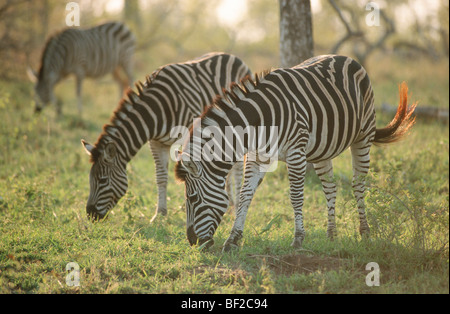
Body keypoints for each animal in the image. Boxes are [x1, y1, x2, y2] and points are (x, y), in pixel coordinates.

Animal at [80, 52, 250, 221]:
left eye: (102, 180)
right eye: (90, 179)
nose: (90, 215)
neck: (157, 110)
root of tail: (232, 56)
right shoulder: (156, 142)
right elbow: (161, 177)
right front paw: (160, 214)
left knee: (237, 169)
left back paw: (235, 207)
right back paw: (230, 206)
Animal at [175, 53, 414, 250]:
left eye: (192, 198)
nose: (192, 243)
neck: (259, 123)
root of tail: (347, 58)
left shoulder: (296, 154)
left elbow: (296, 196)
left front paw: (298, 239)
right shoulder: (256, 157)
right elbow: (244, 195)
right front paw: (233, 239)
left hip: (363, 136)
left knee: (358, 184)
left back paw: (364, 233)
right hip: (322, 150)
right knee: (331, 187)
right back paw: (332, 235)